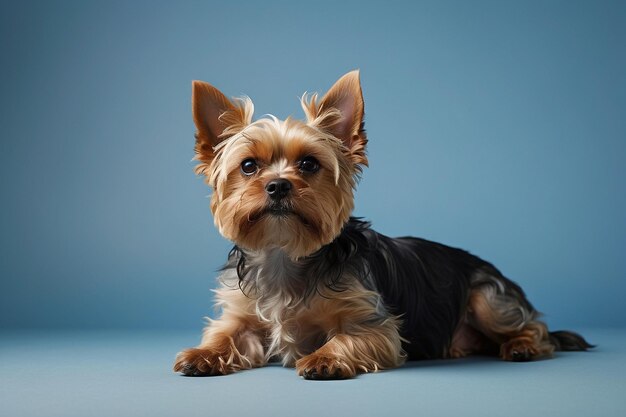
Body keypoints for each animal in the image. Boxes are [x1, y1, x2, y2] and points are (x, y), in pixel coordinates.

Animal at [172, 70, 588, 378]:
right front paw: (202, 354)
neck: (284, 255)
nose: (277, 185)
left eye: (308, 163)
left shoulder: (375, 324)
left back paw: (521, 346)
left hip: (488, 296)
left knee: (535, 327)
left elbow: (350, 337)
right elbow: (227, 333)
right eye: (248, 166)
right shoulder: (241, 313)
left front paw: (324, 358)